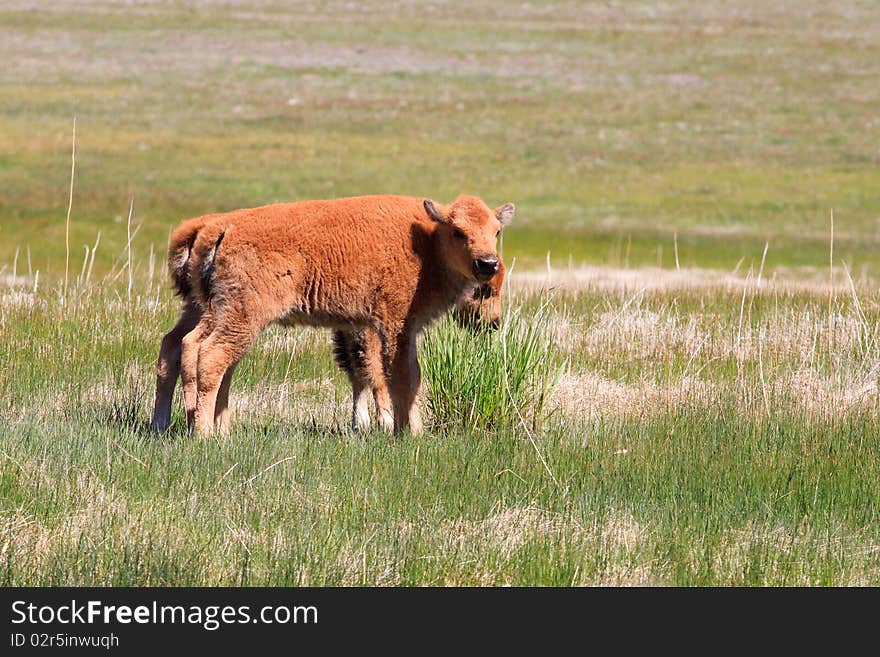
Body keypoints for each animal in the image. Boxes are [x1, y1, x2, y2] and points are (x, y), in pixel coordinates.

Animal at [150, 195, 508, 436]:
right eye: (458, 231)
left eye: (496, 231)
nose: (487, 263)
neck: (427, 241)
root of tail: (222, 227)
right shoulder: (392, 326)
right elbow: (400, 377)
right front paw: (408, 433)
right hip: (242, 315)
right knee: (209, 355)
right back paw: (203, 434)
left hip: (208, 309)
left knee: (180, 347)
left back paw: (176, 426)